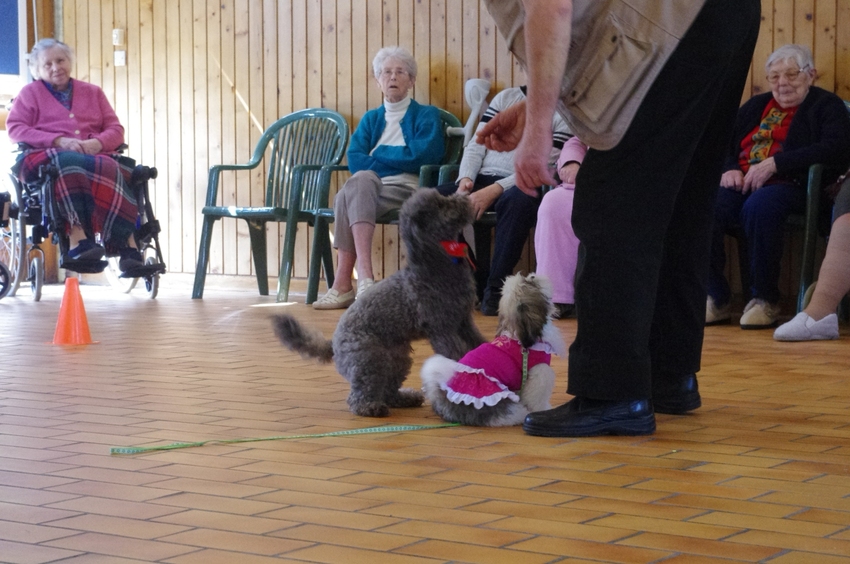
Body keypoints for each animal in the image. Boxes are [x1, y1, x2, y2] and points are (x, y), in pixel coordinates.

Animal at [274, 192, 484, 416]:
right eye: (439, 205)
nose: (464, 195)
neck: (434, 264)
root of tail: (333, 344)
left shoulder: (463, 322)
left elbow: (477, 343)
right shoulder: (443, 330)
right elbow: (455, 355)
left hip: (397, 358)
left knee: (388, 390)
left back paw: (404, 398)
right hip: (370, 358)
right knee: (359, 395)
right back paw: (370, 407)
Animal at [418, 274, 564, 428]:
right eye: (529, 282)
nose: (533, 274)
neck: (519, 336)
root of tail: (443, 398)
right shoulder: (540, 374)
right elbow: (537, 400)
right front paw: (543, 411)